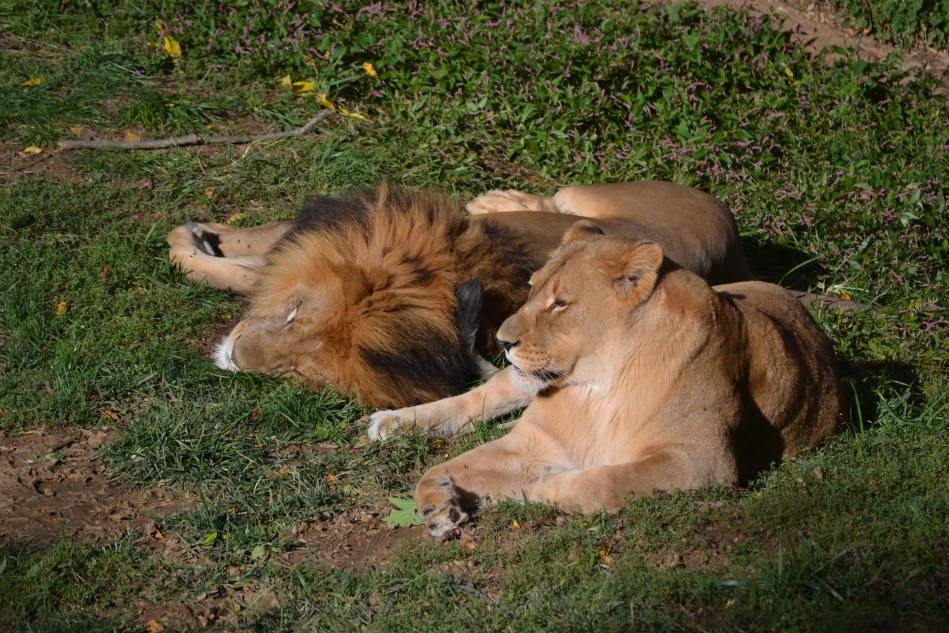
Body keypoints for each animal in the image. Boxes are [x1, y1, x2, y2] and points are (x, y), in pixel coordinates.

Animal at [167, 181, 752, 408]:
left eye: (297, 371)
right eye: (292, 314)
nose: (235, 356)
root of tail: (732, 234)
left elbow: (245, 263)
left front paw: (187, 241)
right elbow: (262, 249)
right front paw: (203, 236)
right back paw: (496, 199)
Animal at [366, 223, 845, 538]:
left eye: (560, 303)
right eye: (532, 287)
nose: (503, 339)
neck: (597, 385)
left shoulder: (702, 462)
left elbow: (609, 481)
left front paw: (543, 487)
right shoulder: (533, 442)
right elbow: (448, 465)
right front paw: (438, 500)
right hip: (517, 382)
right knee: (479, 398)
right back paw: (392, 423)